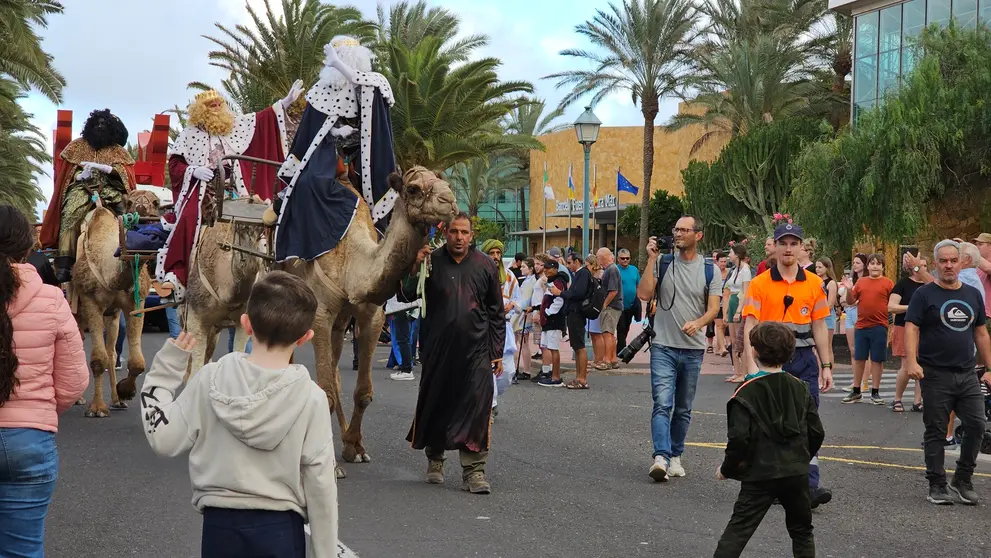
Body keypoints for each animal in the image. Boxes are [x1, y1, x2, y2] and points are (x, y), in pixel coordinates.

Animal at [71, 190, 158, 418]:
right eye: (130, 202)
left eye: (156, 203)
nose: (143, 214)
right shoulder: (91, 302)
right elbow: (97, 359)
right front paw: (97, 408)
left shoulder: (135, 303)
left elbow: (136, 362)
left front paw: (125, 392)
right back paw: (78, 398)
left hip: (112, 316)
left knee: (111, 351)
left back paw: (116, 400)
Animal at [284, 166, 460, 482]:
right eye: (413, 188)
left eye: (446, 183)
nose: (449, 202)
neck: (350, 261)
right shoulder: (320, 315)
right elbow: (325, 393)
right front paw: (331, 466)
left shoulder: (370, 316)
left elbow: (362, 392)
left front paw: (354, 448)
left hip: (340, 322)